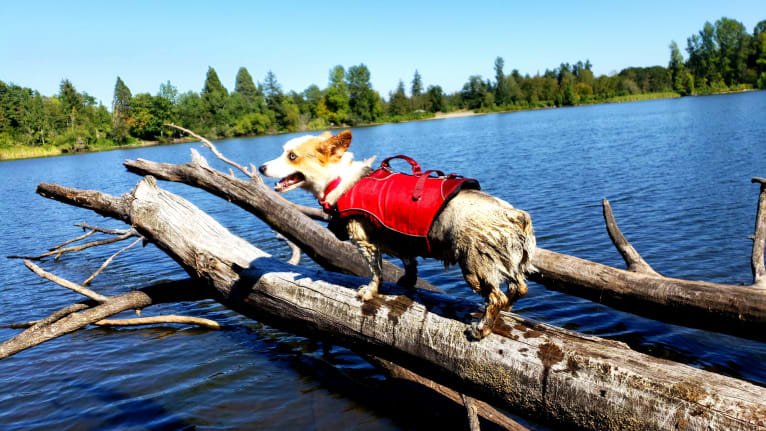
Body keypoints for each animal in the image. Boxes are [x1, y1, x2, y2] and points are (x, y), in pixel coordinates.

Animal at [260, 132, 536, 340]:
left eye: (292, 156)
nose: (261, 167)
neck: (339, 180)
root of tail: (515, 215)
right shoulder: (400, 239)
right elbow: (409, 263)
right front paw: (407, 281)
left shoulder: (365, 241)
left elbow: (376, 273)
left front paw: (369, 292)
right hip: (506, 261)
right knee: (519, 287)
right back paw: (507, 309)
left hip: (474, 266)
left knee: (497, 296)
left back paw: (482, 328)